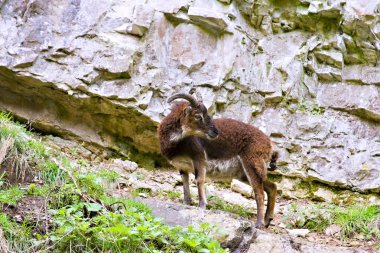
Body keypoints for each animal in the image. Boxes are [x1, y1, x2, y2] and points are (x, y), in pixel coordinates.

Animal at [157, 93, 280, 229]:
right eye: (198, 116)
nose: (215, 132)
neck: (178, 144)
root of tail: (270, 144)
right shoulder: (182, 166)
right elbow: (185, 183)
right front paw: (186, 203)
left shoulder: (199, 158)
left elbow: (199, 180)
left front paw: (202, 205)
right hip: (244, 173)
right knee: (271, 186)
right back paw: (268, 220)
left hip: (252, 163)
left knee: (260, 193)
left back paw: (259, 224)